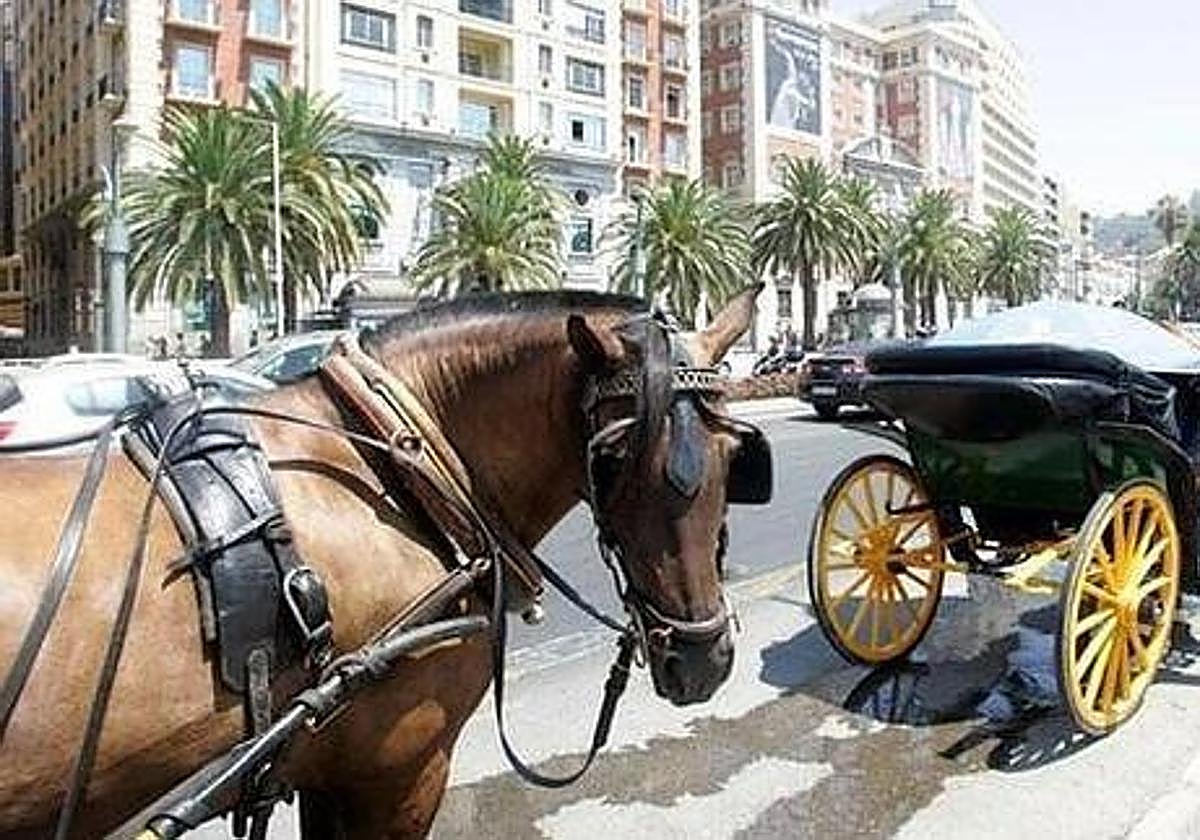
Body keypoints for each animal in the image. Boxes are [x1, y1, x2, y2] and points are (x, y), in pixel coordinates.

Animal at [0, 286, 764, 838]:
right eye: (609, 459)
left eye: (735, 456)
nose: (703, 659)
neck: (399, 470)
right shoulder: (398, 771)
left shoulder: (324, 768)